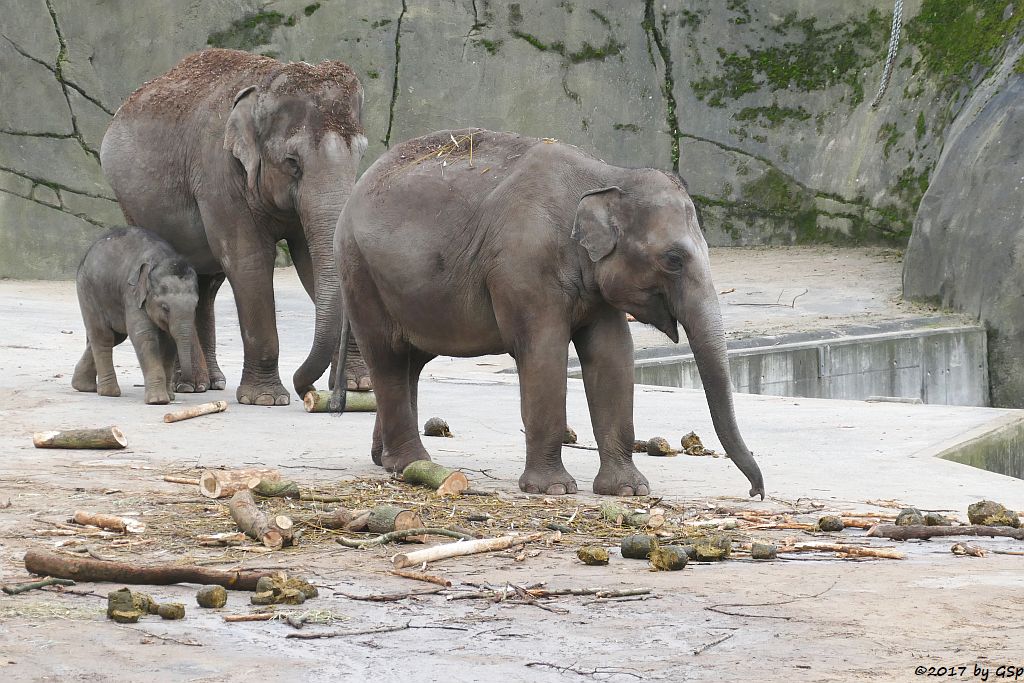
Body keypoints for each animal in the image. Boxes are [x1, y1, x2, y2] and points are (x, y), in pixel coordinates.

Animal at [72, 229, 199, 403]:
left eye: (196, 306)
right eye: (165, 308)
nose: (184, 386)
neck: (160, 258)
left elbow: (170, 342)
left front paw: (170, 397)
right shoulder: (133, 294)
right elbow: (144, 336)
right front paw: (158, 400)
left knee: (115, 337)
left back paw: (83, 386)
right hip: (88, 290)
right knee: (103, 335)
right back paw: (109, 393)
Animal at [99, 50, 370, 409]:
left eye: (361, 154)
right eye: (292, 162)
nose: (308, 392)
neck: (267, 81)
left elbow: (310, 263)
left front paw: (359, 385)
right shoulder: (219, 174)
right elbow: (249, 261)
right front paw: (266, 399)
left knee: (206, 283)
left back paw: (210, 382)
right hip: (133, 204)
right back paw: (192, 385)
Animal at [335, 129, 770, 501]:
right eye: (673, 259)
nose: (755, 492)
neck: (608, 175)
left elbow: (612, 355)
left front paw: (629, 491)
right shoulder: (524, 267)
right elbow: (544, 353)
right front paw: (554, 490)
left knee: (410, 362)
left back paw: (386, 461)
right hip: (360, 274)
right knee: (388, 357)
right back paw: (411, 463)